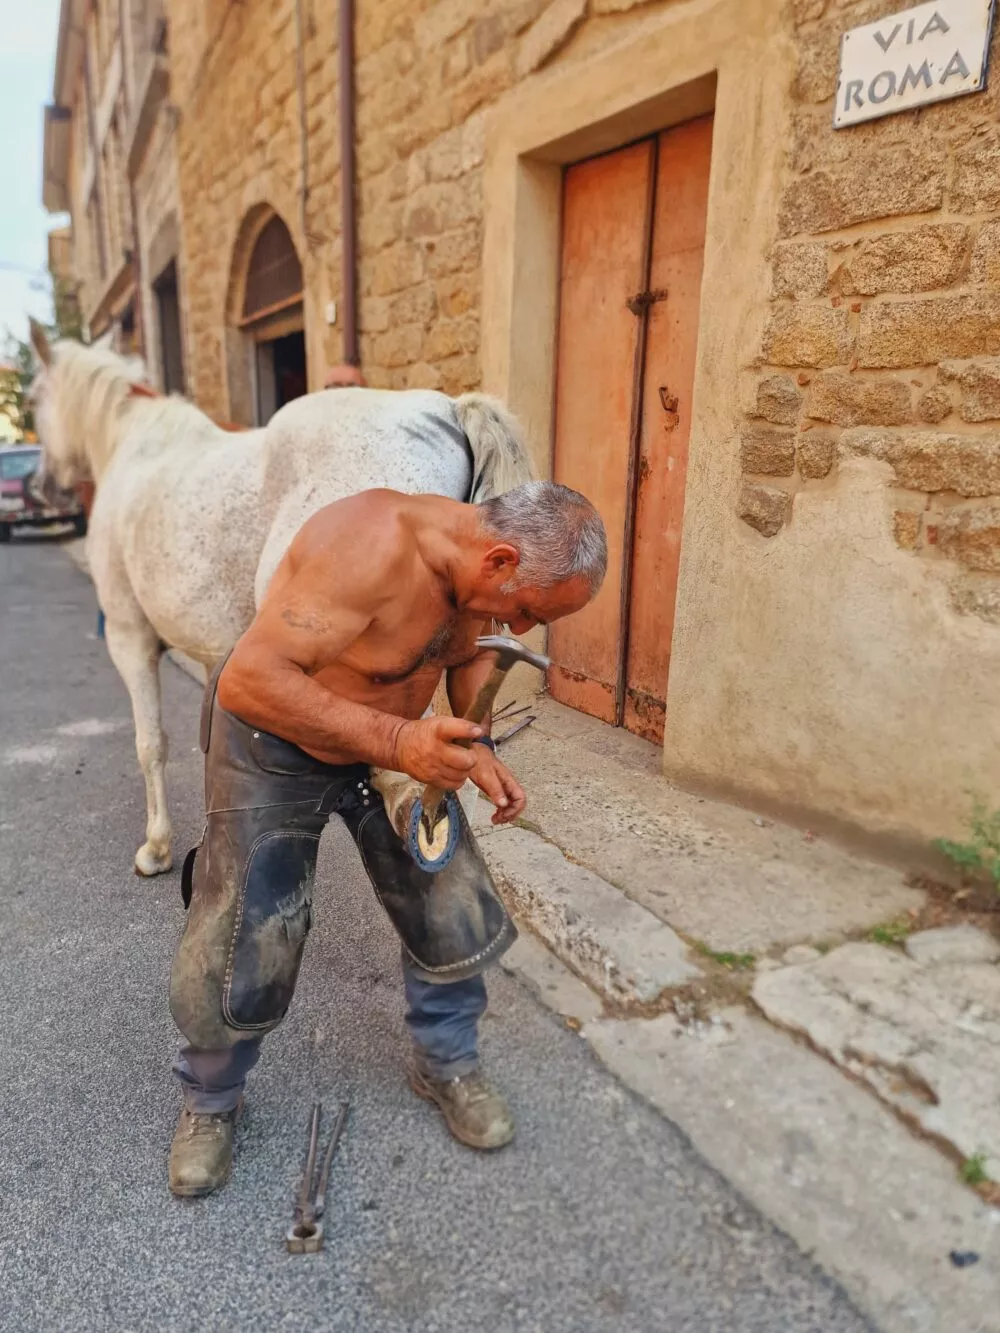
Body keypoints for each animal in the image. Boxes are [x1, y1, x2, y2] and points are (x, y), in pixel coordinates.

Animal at [29, 325, 533, 874]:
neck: (133, 444)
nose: (41, 488)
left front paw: (157, 848)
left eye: (34, 399)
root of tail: (449, 412)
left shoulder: (129, 636)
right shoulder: (217, 652)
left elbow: (150, 743)